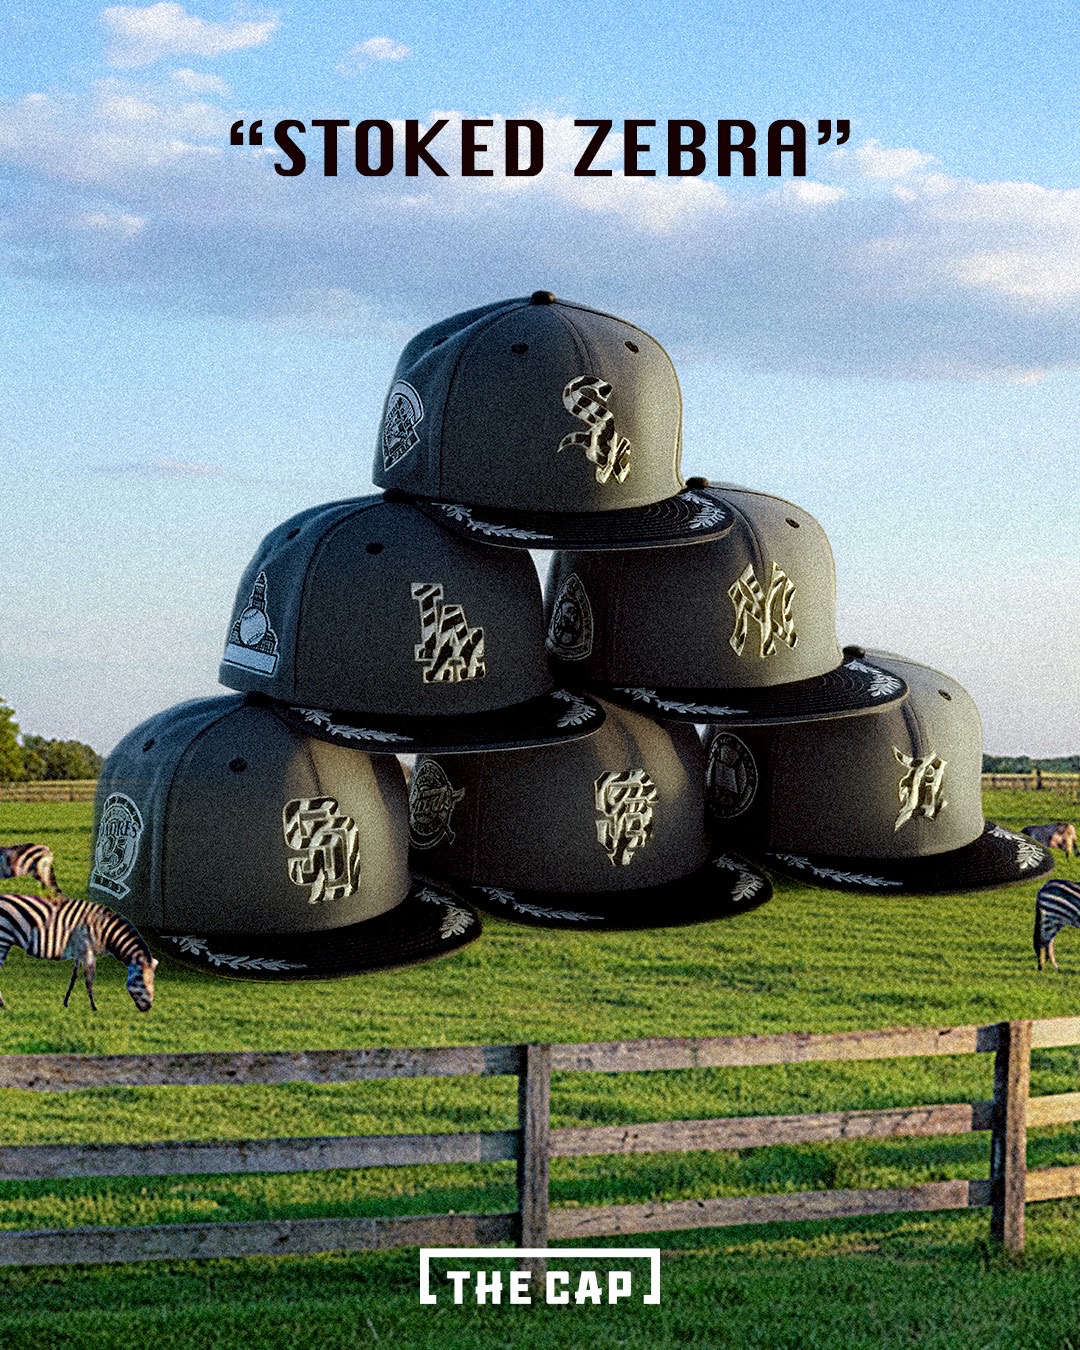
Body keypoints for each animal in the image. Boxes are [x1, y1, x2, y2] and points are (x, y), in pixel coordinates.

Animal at [0, 892, 157, 1011]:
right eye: (141, 980)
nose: (149, 1007)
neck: (104, 931)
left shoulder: (80, 952)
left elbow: (74, 977)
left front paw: (66, 1002)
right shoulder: (87, 951)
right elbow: (89, 979)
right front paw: (94, 1007)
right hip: (3, 939)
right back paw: (2, 1003)